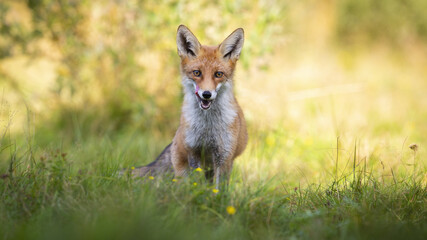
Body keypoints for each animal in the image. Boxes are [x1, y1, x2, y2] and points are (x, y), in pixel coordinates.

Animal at [132, 25, 249, 188]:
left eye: (218, 74)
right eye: (197, 73)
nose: (206, 94)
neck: (208, 127)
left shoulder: (224, 155)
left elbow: (218, 189)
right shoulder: (193, 150)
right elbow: (196, 183)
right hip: (182, 166)